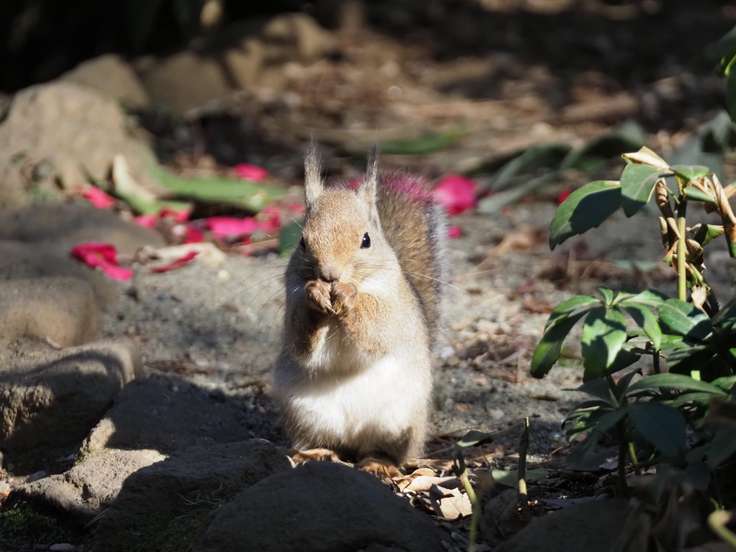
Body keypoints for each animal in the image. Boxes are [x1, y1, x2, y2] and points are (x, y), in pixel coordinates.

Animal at [273, 145, 446, 466]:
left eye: (366, 239)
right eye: (302, 242)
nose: (330, 275)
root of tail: (354, 436)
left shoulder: (392, 309)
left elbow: (375, 330)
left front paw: (348, 294)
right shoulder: (292, 297)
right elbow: (299, 340)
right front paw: (315, 296)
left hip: (398, 421)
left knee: (385, 449)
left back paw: (379, 464)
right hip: (304, 415)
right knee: (323, 441)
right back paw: (318, 453)